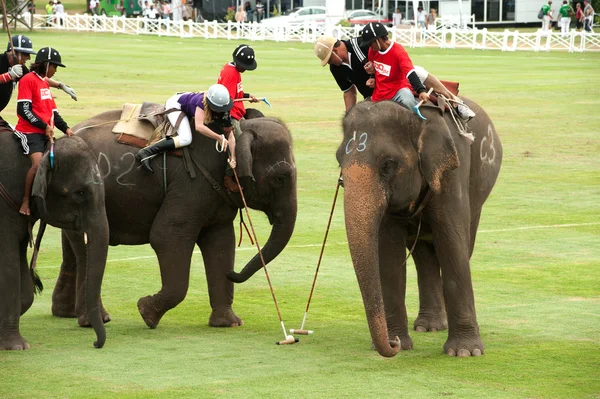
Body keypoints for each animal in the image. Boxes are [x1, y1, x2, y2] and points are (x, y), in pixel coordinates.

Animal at [0, 133, 109, 352]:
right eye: (80, 193)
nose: (95, 343)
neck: (43, 151)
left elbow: (25, 288)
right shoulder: (3, 210)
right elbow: (8, 266)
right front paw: (16, 347)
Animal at [52, 109, 298, 332]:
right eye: (279, 178)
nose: (234, 273)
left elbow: (221, 243)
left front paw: (229, 323)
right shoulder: (189, 185)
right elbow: (166, 236)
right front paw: (146, 312)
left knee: (73, 250)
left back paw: (66, 314)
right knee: (86, 251)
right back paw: (95, 321)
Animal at [338, 99, 502, 360]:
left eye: (388, 165)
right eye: (338, 161)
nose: (391, 344)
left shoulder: (452, 171)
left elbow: (452, 243)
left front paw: (465, 352)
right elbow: (388, 253)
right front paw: (401, 343)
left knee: (464, 245)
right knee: (424, 255)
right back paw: (430, 326)